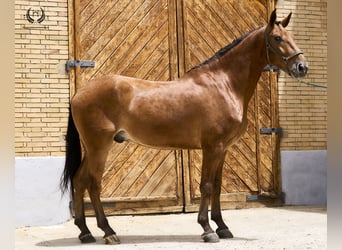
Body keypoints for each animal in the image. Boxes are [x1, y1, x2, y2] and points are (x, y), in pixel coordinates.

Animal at [60, 9, 308, 244]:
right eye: (277, 38)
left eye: (292, 37)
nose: (302, 67)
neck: (224, 84)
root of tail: (79, 93)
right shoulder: (212, 147)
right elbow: (206, 185)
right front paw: (207, 229)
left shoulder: (223, 149)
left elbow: (217, 186)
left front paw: (222, 226)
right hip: (99, 147)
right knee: (93, 184)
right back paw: (108, 232)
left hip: (91, 149)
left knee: (79, 180)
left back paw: (85, 232)